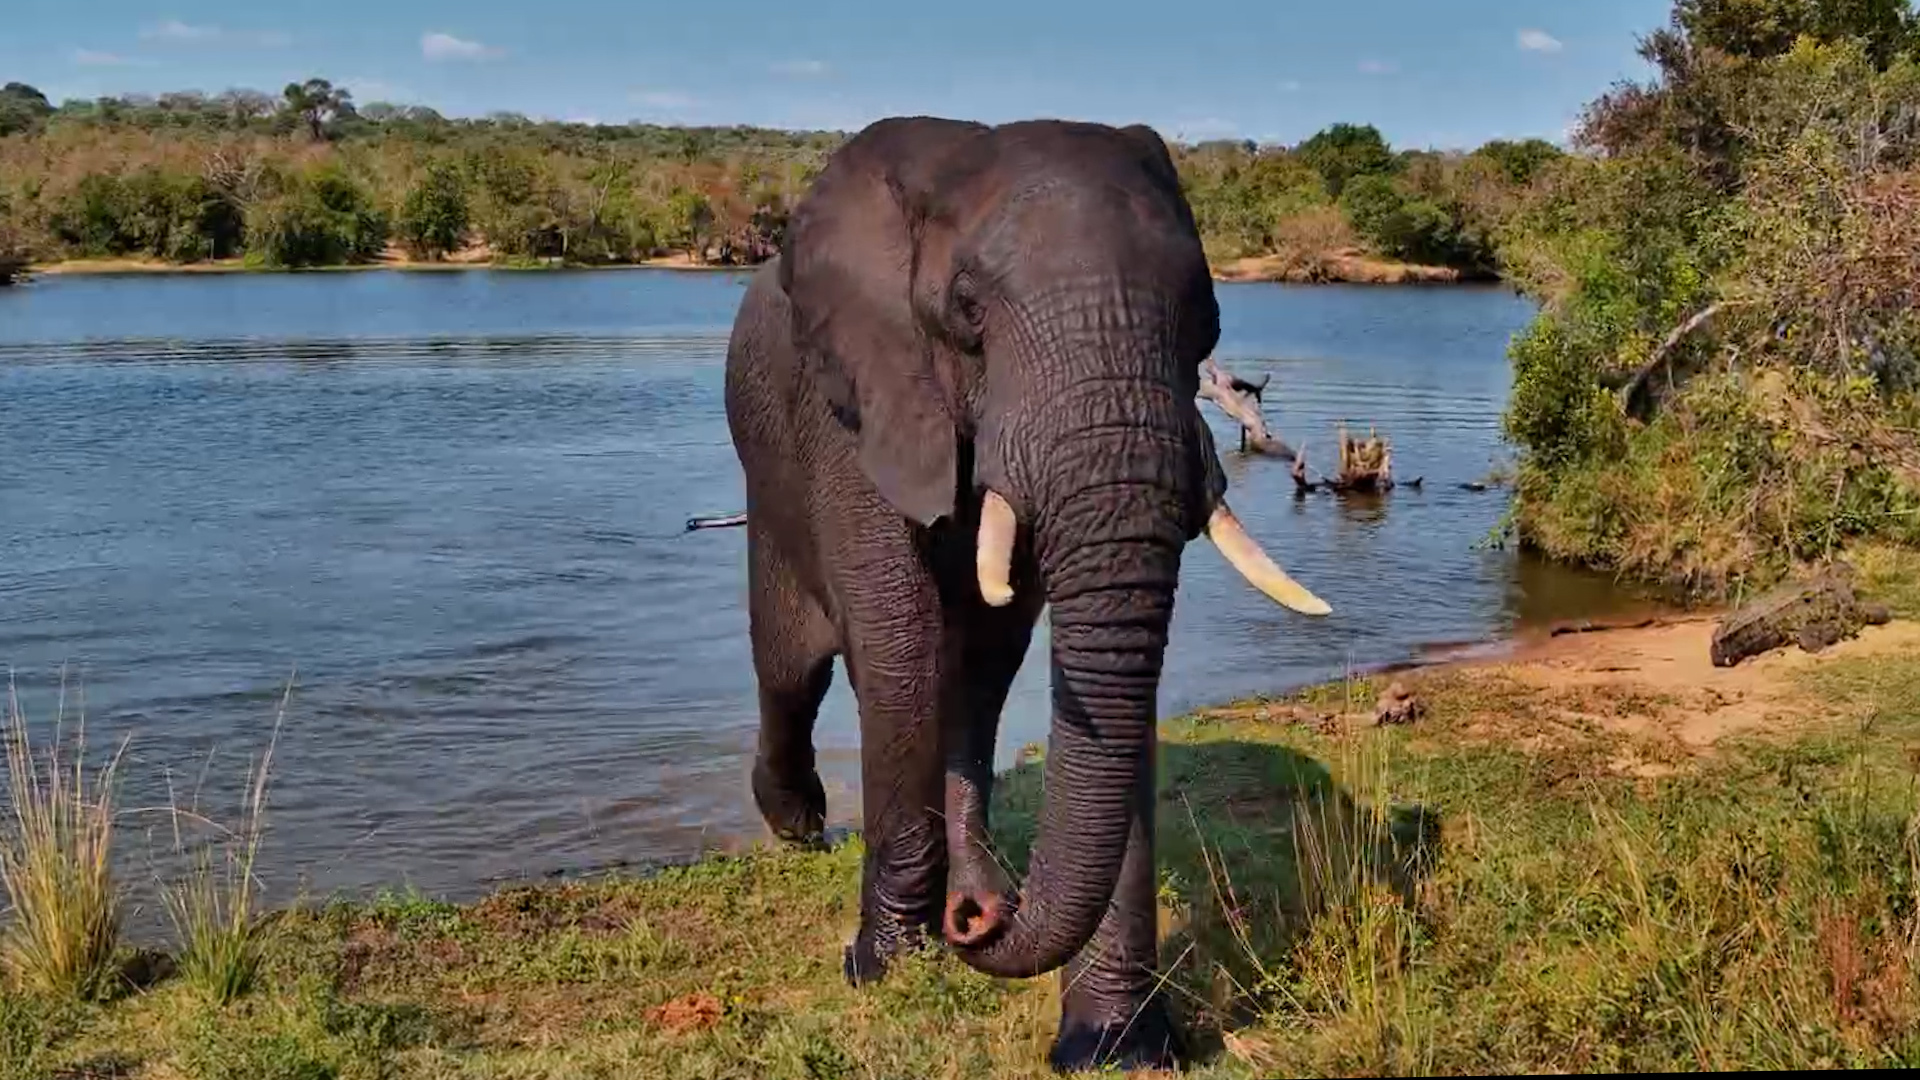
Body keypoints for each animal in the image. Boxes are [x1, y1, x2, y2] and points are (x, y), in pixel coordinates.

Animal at [722, 115, 1330, 1072]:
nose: (980, 925)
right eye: (969, 310)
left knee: (980, 671)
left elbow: (1096, 675)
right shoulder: (857, 404)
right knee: (793, 669)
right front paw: (882, 970)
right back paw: (801, 826)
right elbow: (896, 642)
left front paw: (1115, 1048)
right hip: (770, 474)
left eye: (1207, 320)